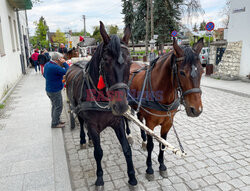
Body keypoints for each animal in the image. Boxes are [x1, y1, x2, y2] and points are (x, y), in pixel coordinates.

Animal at [65, 21, 138, 187]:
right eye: (105, 60)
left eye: (130, 61)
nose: (121, 106)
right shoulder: (93, 125)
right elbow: (98, 153)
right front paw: (99, 178)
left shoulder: (118, 122)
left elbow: (126, 149)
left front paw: (132, 177)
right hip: (77, 109)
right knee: (81, 122)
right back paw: (83, 140)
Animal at [126, 37, 204, 178]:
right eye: (182, 73)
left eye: (202, 71)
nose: (196, 110)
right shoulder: (150, 123)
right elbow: (152, 145)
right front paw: (149, 168)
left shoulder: (168, 122)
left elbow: (163, 142)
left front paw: (162, 165)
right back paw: (129, 136)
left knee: (139, 119)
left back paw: (143, 140)